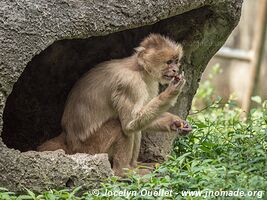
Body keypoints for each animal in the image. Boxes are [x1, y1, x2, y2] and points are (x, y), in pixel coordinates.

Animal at [37, 33, 193, 176]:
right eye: (169, 62)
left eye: (176, 61)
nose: (175, 70)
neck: (138, 69)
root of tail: (68, 140)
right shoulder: (130, 84)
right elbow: (129, 124)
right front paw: (172, 91)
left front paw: (175, 123)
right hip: (91, 148)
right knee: (120, 126)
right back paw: (123, 171)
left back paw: (135, 165)